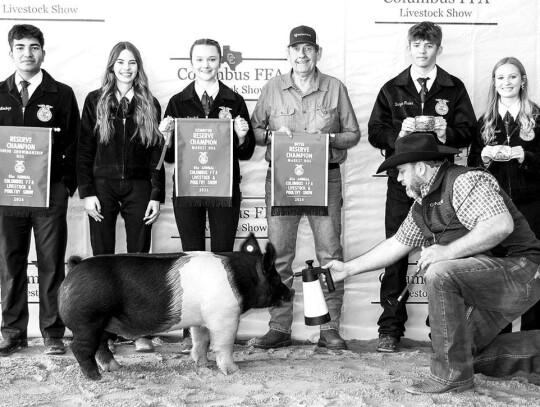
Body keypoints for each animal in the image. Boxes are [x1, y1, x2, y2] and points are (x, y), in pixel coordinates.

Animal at [59, 234, 292, 380]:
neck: (241, 281)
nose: (291, 293)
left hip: (98, 324)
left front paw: (202, 364)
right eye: (276, 279)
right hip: (87, 321)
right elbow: (224, 344)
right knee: (80, 348)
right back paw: (97, 378)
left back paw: (115, 368)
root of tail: (74, 268)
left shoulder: (201, 320)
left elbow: (201, 340)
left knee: (99, 346)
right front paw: (233, 371)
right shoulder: (225, 317)